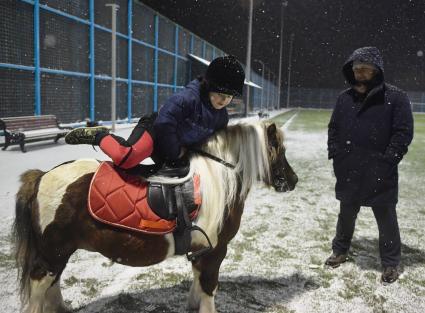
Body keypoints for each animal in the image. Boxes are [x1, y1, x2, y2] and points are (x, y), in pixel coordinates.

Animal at [12, 121, 294, 312]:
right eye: (278, 150)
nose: (293, 180)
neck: (218, 179)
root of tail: (42, 176)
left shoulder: (201, 250)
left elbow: (198, 280)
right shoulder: (216, 250)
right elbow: (209, 286)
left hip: (60, 252)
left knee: (53, 283)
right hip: (52, 252)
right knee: (40, 284)